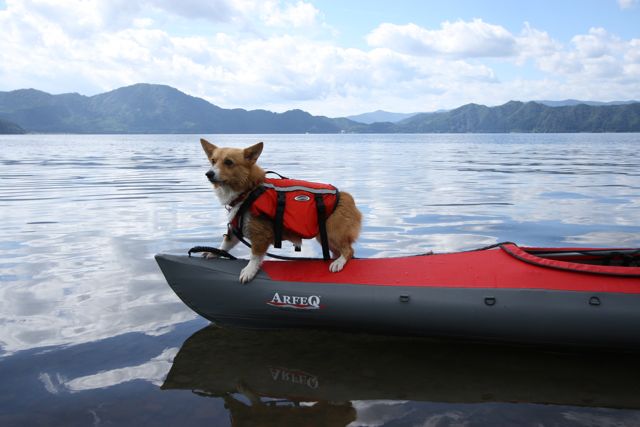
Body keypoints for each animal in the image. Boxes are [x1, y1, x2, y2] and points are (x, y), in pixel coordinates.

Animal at [200, 138, 360, 284]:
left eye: (228, 162)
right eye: (213, 161)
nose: (209, 174)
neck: (248, 191)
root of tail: (347, 197)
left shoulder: (260, 236)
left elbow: (254, 256)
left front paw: (249, 271)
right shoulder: (234, 232)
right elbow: (225, 245)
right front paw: (213, 252)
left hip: (332, 232)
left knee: (348, 251)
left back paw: (338, 263)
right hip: (324, 236)